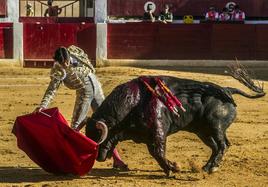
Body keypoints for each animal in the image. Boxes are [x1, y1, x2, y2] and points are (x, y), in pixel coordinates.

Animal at [85, 74, 264, 175]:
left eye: (97, 137)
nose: (98, 158)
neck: (132, 103)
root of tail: (227, 90)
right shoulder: (147, 136)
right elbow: (156, 153)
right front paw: (173, 167)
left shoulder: (158, 131)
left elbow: (157, 152)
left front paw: (171, 170)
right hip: (203, 132)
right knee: (215, 147)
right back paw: (207, 167)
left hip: (216, 127)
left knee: (223, 145)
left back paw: (211, 168)